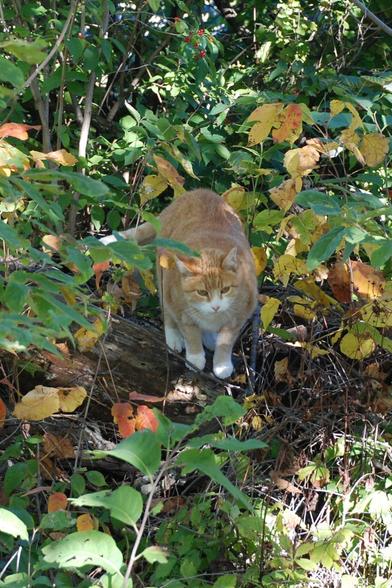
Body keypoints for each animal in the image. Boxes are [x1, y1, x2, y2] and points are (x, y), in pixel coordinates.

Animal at [102, 191, 258, 378]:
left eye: (225, 289)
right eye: (202, 292)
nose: (216, 307)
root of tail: (194, 192)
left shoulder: (241, 314)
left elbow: (226, 341)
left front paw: (221, 364)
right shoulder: (178, 305)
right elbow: (190, 333)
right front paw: (195, 357)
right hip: (164, 277)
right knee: (167, 313)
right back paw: (174, 338)